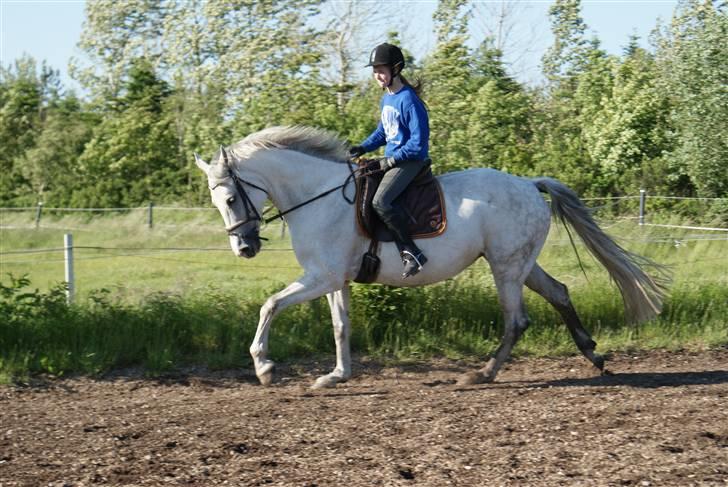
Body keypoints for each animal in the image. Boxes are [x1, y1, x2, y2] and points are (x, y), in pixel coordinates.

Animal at [195, 125, 672, 388]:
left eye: (232, 197)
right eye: (216, 202)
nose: (245, 248)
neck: (318, 196)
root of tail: (527, 184)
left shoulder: (321, 277)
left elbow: (270, 305)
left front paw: (264, 367)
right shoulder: (332, 279)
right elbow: (340, 327)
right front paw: (337, 376)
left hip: (506, 267)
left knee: (517, 320)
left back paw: (483, 374)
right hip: (520, 263)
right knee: (558, 292)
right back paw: (593, 355)